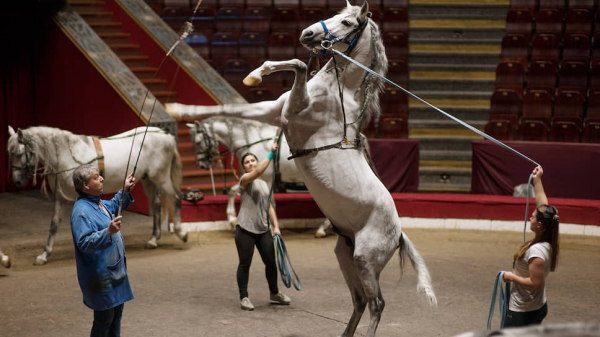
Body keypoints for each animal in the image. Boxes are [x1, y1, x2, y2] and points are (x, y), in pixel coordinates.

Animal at [5, 124, 186, 264]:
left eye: (19, 153)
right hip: (149, 180)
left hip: (161, 178)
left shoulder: (73, 198)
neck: (67, 155)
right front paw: (44, 255)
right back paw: (153, 240)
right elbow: (54, 225)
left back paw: (181, 233)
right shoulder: (60, 197)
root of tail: (166, 136)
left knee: (176, 198)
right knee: (156, 205)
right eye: (10, 153)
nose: (17, 181)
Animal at [188, 117, 332, 235]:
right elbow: (233, 191)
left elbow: (268, 203)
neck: (252, 140)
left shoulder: (264, 179)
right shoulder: (255, 178)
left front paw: (233, 218)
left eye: (198, 141)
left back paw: (322, 229)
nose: (202, 164)